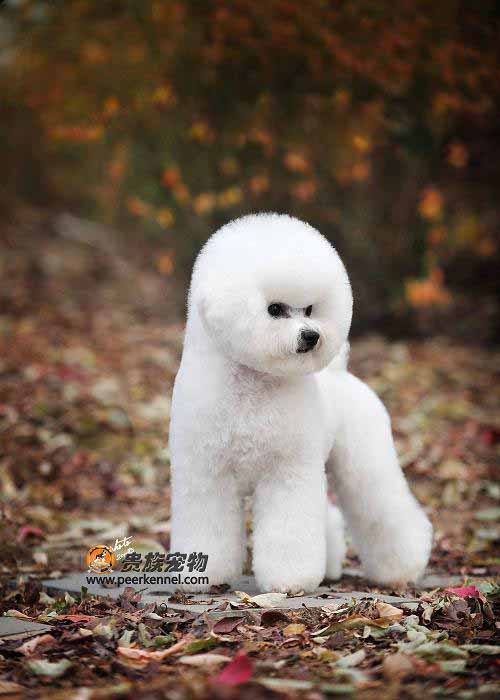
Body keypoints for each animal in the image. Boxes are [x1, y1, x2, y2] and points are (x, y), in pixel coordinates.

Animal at [169, 213, 432, 592]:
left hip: (364, 458)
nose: (312, 336)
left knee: (382, 508)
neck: (251, 385)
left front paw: (290, 580)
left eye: (309, 309)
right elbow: (207, 521)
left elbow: (289, 528)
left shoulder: (287, 470)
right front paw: (205, 575)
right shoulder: (206, 472)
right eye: (275, 309)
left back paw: (400, 569)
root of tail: (340, 373)